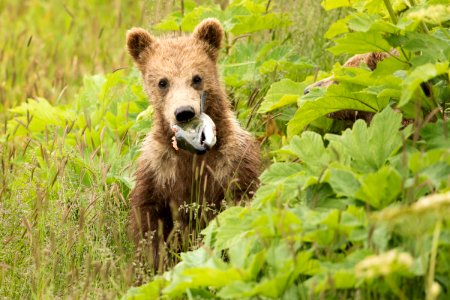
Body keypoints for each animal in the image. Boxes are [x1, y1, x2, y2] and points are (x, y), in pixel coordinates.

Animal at [125, 18, 260, 272]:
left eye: (196, 77)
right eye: (162, 82)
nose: (184, 112)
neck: (191, 154)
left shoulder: (232, 164)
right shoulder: (158, 171)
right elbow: (149, 226)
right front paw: (154, 265)